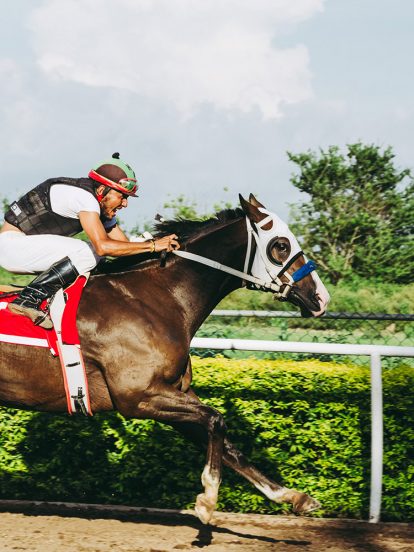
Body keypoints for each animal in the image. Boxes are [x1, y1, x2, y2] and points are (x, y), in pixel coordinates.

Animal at [0, 194, 330, 524]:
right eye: (281, 245)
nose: (321, 298)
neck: (154, 297)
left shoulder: (174, 391)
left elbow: (225, 441)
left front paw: (293, 496)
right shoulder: (138, 397)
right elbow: (217, 420)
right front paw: (208, 499)